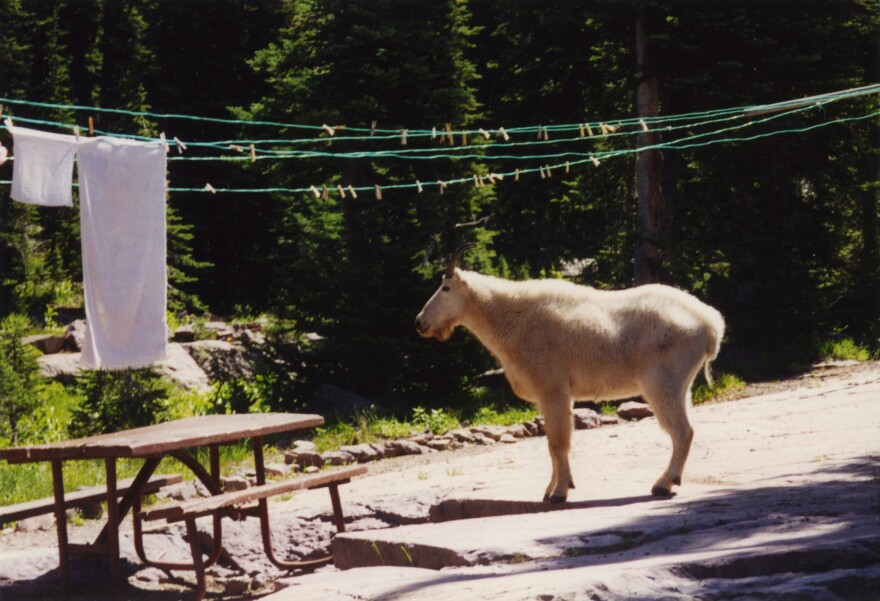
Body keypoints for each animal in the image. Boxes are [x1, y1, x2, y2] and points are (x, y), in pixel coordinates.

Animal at [416, 247, 724, 502]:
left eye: (445, 288)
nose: (420, 322)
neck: (508, 318)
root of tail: (711, 325)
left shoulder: (553, 389)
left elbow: (558, 442)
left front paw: (559, 492)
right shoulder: (550, 395)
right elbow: (552, 444)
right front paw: (551, 489)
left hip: (661, 383)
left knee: (681, 431)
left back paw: (662, 484)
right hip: (682, 385)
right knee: (685, 430)